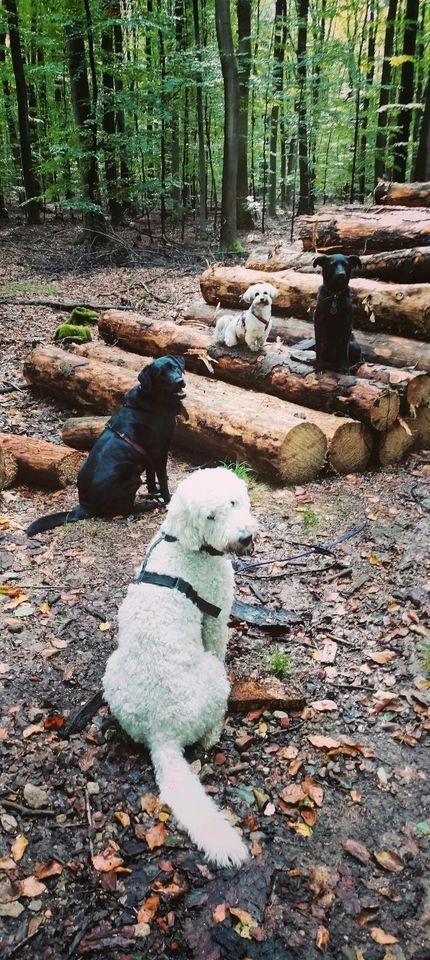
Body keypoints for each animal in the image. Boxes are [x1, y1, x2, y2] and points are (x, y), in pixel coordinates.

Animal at [25, 354, 186, 536]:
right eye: (161, 374)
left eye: (175, 367)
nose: (179, 381)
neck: (153, 401)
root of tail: (85, 505)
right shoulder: (160, 452)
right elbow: (163, 481)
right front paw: (168, 500)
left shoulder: (149, 455)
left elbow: (152, 478)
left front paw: (153, 491)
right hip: (131, 474)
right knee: (122, 509)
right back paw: (146, 505)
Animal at [102, 466, 256, 872]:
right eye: (210, 517)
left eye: (233, 502)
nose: (244, 537)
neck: (183, 545)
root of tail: (162, 734)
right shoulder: (215, 616)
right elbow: (218, 641)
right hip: (212, 681)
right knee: (209, 729)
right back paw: (216, 731)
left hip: (112, 673)